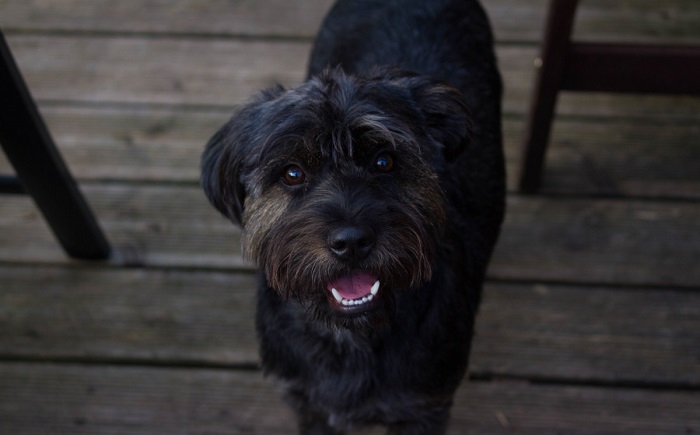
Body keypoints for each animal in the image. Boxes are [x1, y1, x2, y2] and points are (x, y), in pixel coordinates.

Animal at [201, 0, 504, 432]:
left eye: (384, 161)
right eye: (292, 173)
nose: (351, 242)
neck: (349, 338)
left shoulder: (424, 408)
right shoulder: (307, 403)